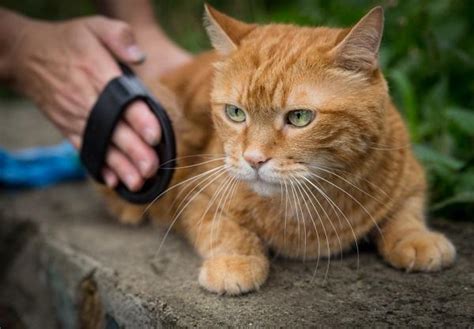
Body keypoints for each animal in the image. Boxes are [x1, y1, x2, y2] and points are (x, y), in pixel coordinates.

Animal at [103, 5, 456, 294]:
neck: (305, 206)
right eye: (235, 113)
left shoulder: (410, 176)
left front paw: (417, 239)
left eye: (299, 117)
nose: (253, 159)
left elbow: (406, 212)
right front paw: (235, 261)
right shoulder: (195, 193)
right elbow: (223, 230)